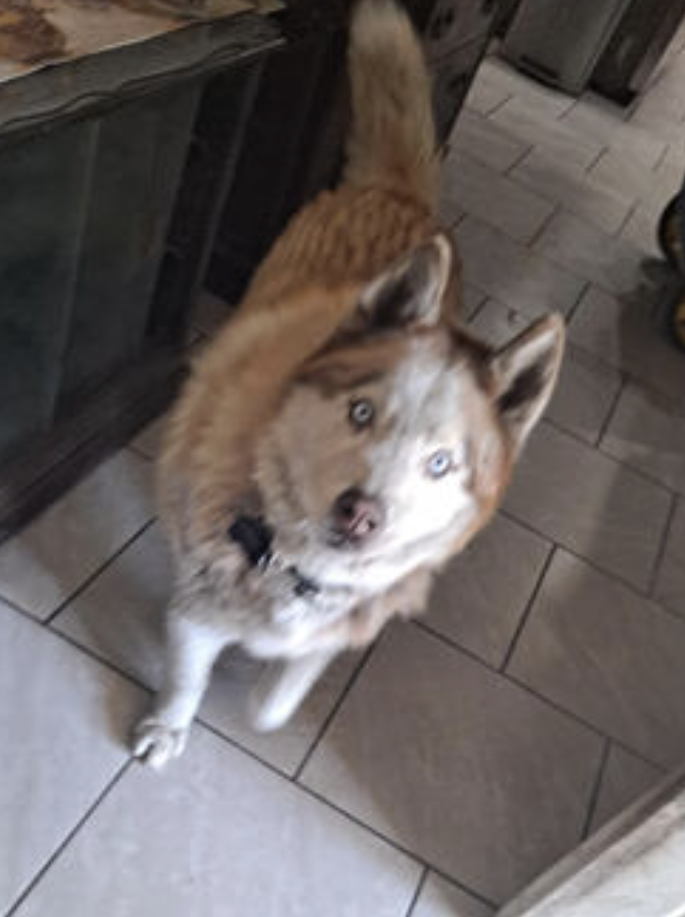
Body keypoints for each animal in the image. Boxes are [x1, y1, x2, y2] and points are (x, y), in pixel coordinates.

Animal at [133, 0, 565, 768]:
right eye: (361, 412)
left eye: (440, 462)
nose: (360, 514)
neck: (291, 561)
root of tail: (393, 192)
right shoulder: (202, 599)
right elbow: (188, 664)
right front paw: (169, 723)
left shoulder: (346, 619)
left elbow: (278, 699)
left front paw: (266, 681)